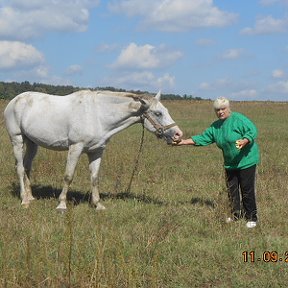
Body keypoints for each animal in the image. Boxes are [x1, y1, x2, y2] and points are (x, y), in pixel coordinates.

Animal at [3, 90, 182, 212]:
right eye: (158, 113)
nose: (178, 134)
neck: (98, 115)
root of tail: (14, 100)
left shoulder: (97, 151)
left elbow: (95, 178)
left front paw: (98, 205)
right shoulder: (75, 147)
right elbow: (68, 176)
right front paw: (61, 205)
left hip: (32, 143)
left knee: (27, 167)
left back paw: (31, 196)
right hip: (17, 139)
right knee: (20, 168)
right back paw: (24, 200)